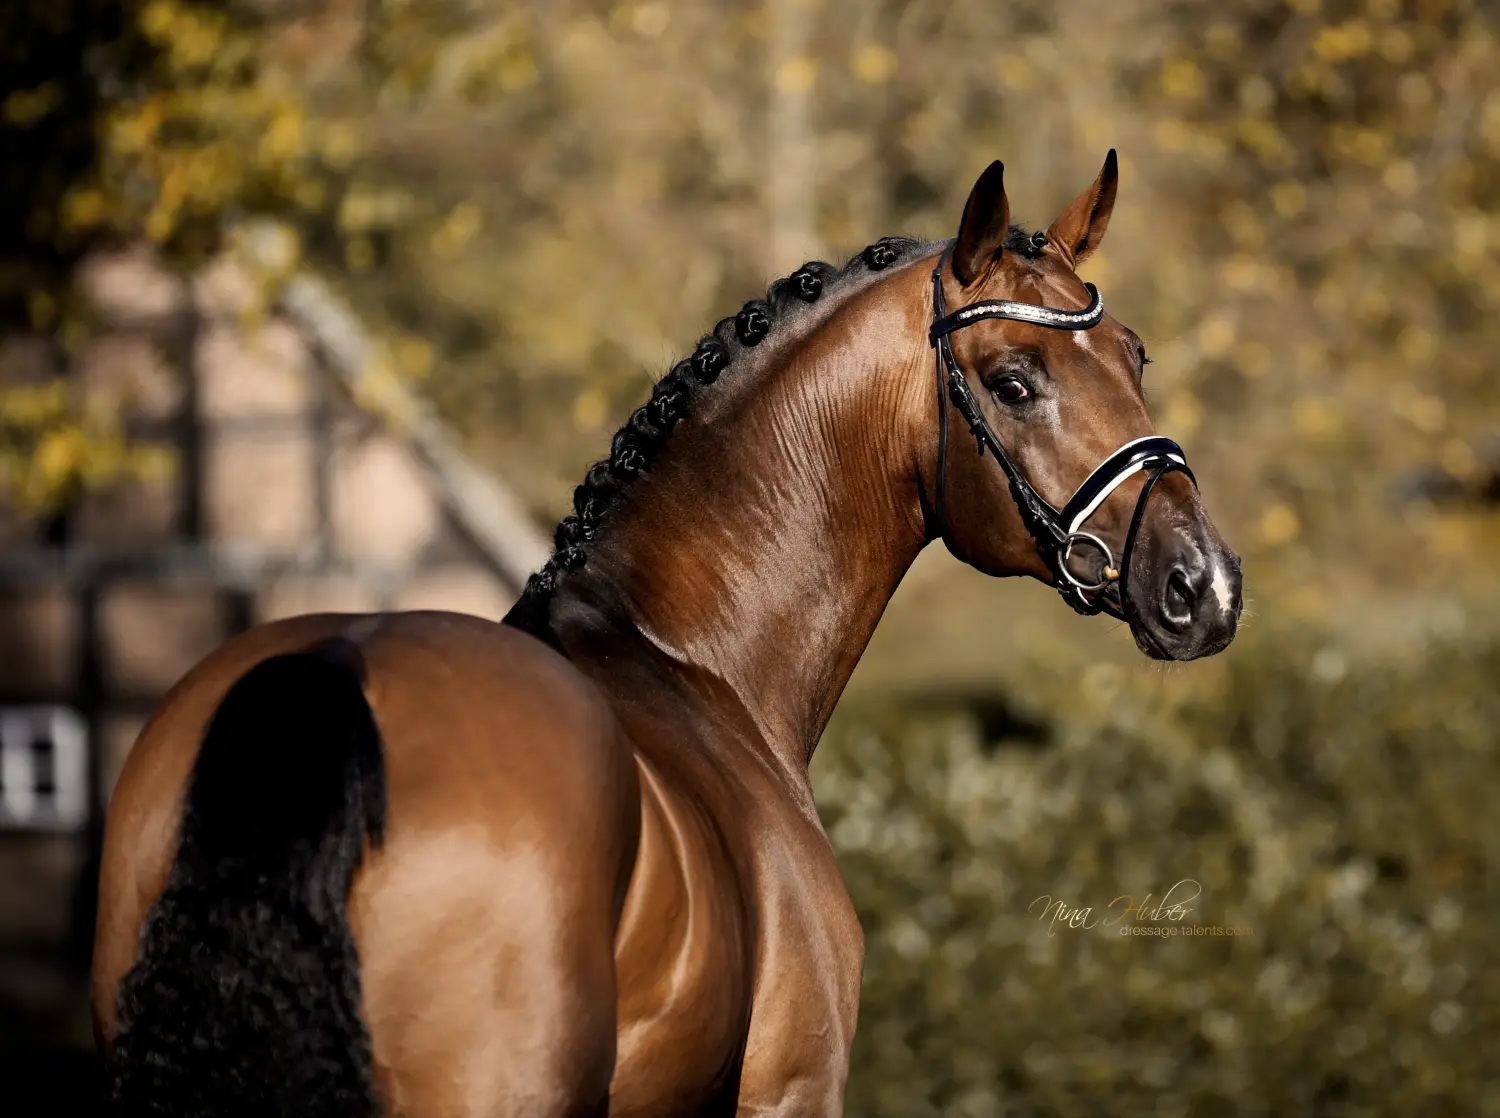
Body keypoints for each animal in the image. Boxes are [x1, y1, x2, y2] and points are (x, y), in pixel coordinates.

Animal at [91, 152, 1241, 1117]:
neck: (691, 661)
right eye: (1011, 381)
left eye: (1135, 355)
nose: (1205, 585)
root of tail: (328, 675)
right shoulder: (790, 1089)